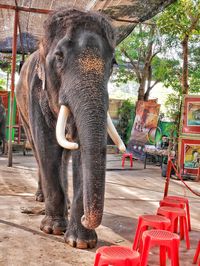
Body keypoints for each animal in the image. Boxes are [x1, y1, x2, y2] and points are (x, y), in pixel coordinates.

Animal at [16, 8, 125, 249]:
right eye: (59, 57)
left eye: (113, 63)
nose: (86, 216)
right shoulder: (36, 91)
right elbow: (47, 146)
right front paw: (53, 229)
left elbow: (80, 151)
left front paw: (81, 242)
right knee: (37, 150)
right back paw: (41, 198)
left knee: (64, 156)